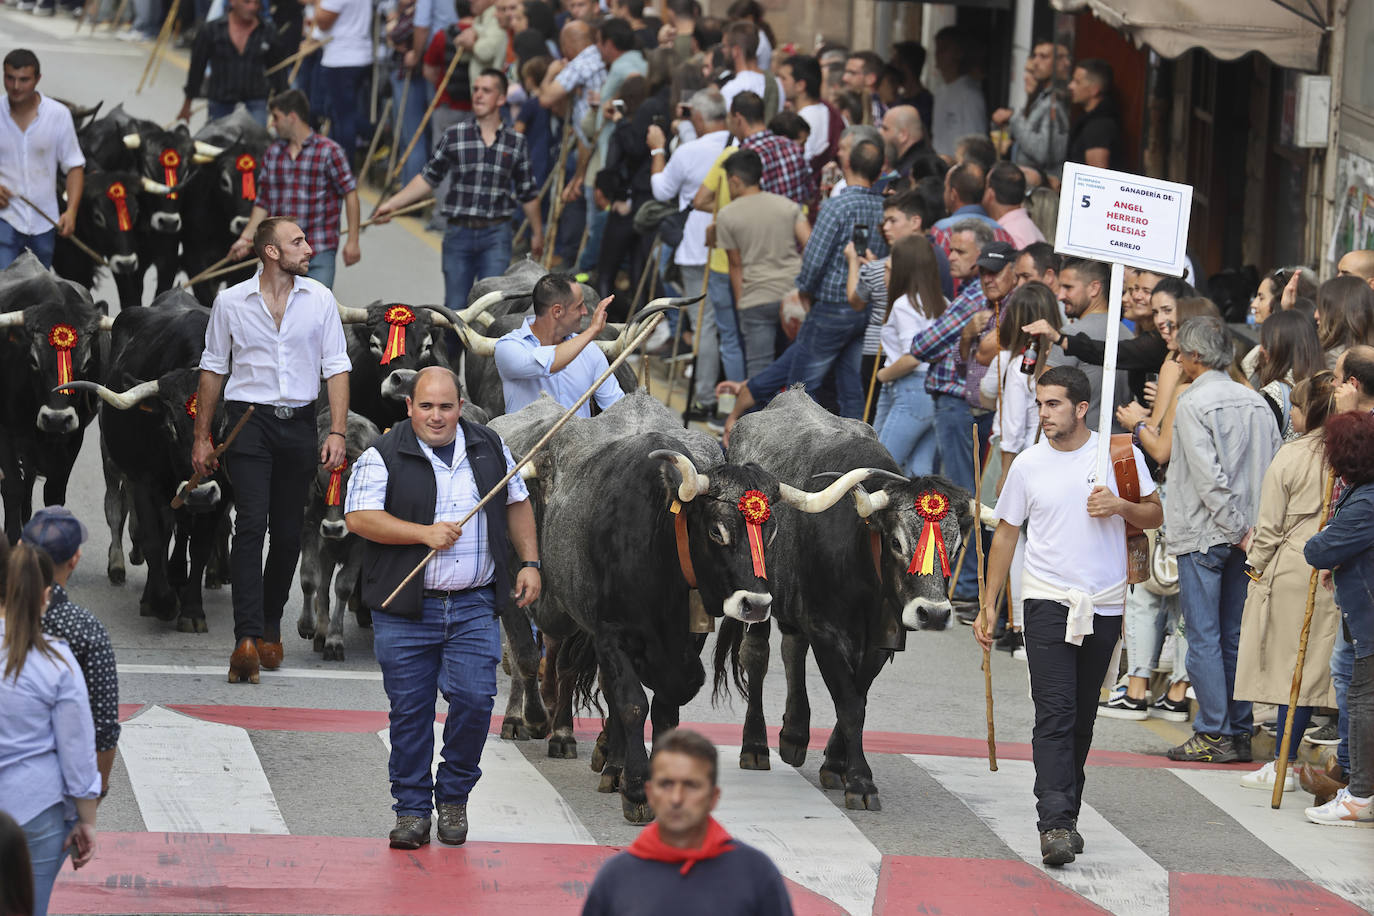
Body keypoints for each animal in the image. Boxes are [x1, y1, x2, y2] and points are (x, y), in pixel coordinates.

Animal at [0, 254, 112, 543]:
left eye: (86, 363)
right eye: (33, 360)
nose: (56, 418)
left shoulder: (72, 437)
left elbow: (54, 494)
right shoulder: (6, 432)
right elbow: (12, 488)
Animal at [69, 304, 233, 634]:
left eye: (222, 425)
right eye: (170, 426)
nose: (200, 493)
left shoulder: (220, 493)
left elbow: (199, 546)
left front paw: (191, 611)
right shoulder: (143, 482)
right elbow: (154, 540)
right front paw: (162, 602)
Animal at [298, 409, 379, 659]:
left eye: (354, 486)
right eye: (317, 483)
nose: (333, 528)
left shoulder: (362, 543)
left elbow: (343, 586)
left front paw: (335, 640)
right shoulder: (310, 528)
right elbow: (309, 579)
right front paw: (308, 626)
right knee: (322, 585)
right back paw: (320, 631)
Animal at [719, 387, 967, 807]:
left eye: (956, 545)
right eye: (897, 542)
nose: (933, 614)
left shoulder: (884, 641)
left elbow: (859, 698)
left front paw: (836, 766)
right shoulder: (826, 632)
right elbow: (849, 704)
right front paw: (861, 781)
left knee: (792, 647)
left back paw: (794, 735)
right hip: (757, 599)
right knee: (758, 656)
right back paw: (756, 745)